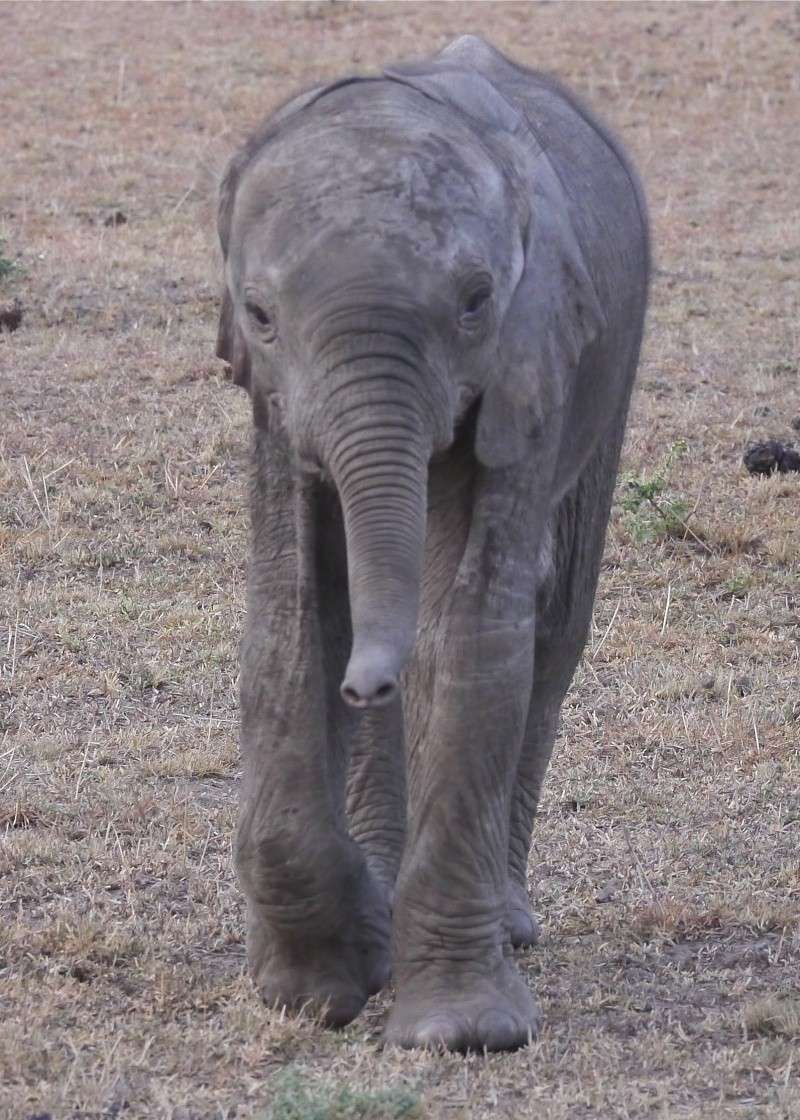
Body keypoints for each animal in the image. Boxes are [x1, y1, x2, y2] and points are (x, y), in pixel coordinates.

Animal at [218, 35, 649, 1048]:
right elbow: (293, 620)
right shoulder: (273, 404)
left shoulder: (535, 355)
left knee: (554, 627)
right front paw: (316, 987)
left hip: (612, 366)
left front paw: (461, 1035)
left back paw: (511, 923)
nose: (362, 685)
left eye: (476, 302)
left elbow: (469, 634)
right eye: (259, 315)